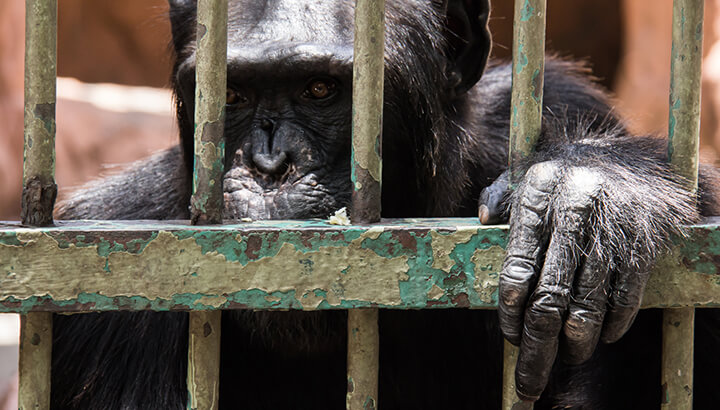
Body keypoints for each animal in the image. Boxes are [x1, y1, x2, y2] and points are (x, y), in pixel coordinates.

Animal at [51, 0, 720, 408]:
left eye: (321, 89)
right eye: (232, 94)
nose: (269, 165)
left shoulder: (560, 101)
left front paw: (594, 189)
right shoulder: (112, 268)